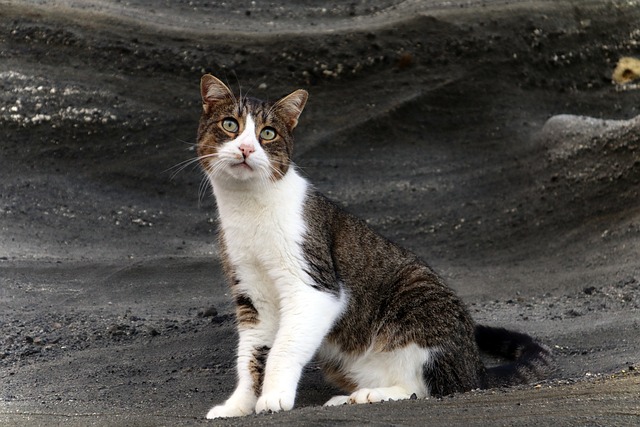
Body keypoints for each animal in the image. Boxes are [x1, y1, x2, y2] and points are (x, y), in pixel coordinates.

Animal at [198, 74, 552, 422]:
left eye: (267, 133)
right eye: (230, 125)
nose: (246, 148)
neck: (249, 208)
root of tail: (475, 369)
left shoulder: (313, 286)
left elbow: (283, 348)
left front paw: (273, 397)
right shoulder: (252, 293)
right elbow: (252, 354)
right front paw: (238, 405)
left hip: (418, 303)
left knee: (426, 387)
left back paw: (373, 395)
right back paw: (349, 398)